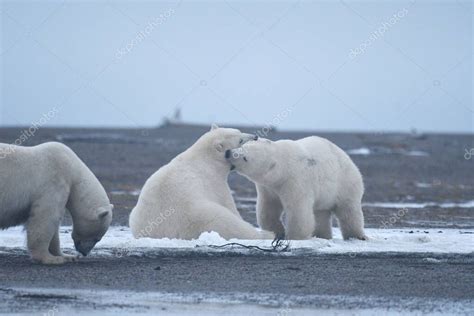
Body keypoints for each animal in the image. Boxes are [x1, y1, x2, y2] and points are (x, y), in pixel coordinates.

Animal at [128, 125, 274, 239]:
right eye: (240, 140)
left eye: (238, 131)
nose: (255, 136)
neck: (205, 159)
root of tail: (160, 232)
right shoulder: (214, 180)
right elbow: (228, 203)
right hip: (199, 215)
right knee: (229, 223)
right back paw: (266, 234)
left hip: (134, 215)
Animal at [228, 137, 368, 241]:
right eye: (242, 146)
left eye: (245, 158)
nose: (228, 153)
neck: (282, 167)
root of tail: (347, 158)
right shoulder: (268, 188)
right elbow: (268, 209)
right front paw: (277, 232)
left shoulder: (294, 180)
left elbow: (298, 210)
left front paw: (294, 237)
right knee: (320, 214)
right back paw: (322, 235)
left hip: (345, 183)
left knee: (348, 211)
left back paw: (357, 236)